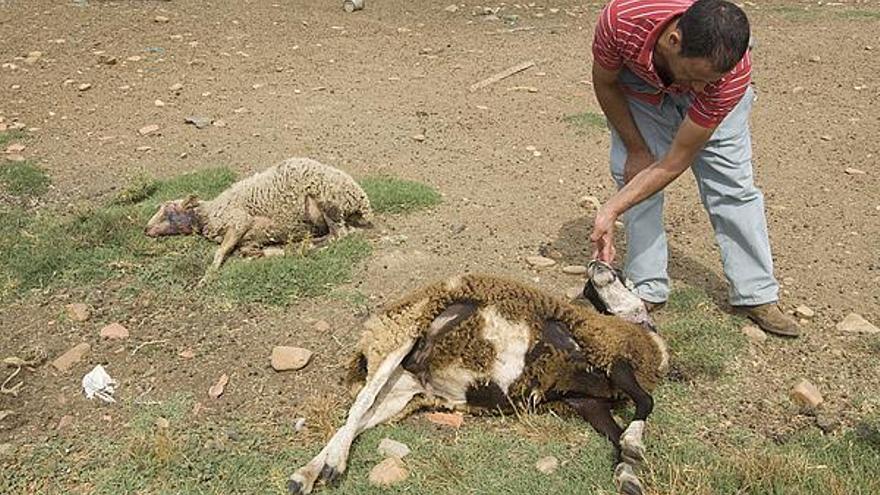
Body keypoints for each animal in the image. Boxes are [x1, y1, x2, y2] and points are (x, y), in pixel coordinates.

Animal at [144, 158, 372, 280]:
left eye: (167, 209)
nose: (146, 230)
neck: (209, 214)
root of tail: (360, 197)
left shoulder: (238, 221)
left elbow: (220, 252)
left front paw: (208, 275)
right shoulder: (248, 238)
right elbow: (246, 250)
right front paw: (261, 253)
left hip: (326, 202)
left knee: (339, 235)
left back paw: (304, 245)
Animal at [288, 268, 668, 495]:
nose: (597, 267)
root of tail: (370, 336)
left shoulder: (588, 401)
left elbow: (616, 436)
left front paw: (628, 472)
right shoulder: (609, 359)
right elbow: (646, 402)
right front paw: (635, 448)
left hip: (401, 394)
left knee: (359, 420)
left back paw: (306, 474)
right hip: (402, 338)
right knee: (359, 406)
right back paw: (331, 467)